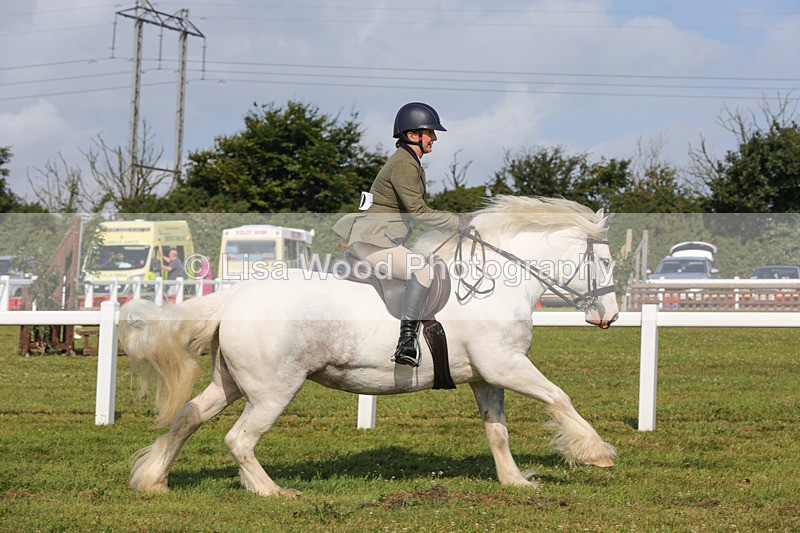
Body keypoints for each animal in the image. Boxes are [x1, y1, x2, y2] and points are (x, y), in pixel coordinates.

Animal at [119, 195, 620, 497]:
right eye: (605, 261)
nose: (609, 317)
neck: (492, 283)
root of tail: (235, 295)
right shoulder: (506, 365)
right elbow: (559, 397)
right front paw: (595, 453)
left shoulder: (486, 376)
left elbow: (497, 430)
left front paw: (515, 481)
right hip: (272, 391)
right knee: (239, 439)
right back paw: (273, 492)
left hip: (231, 384)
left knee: (189, 417)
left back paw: (153, 479)